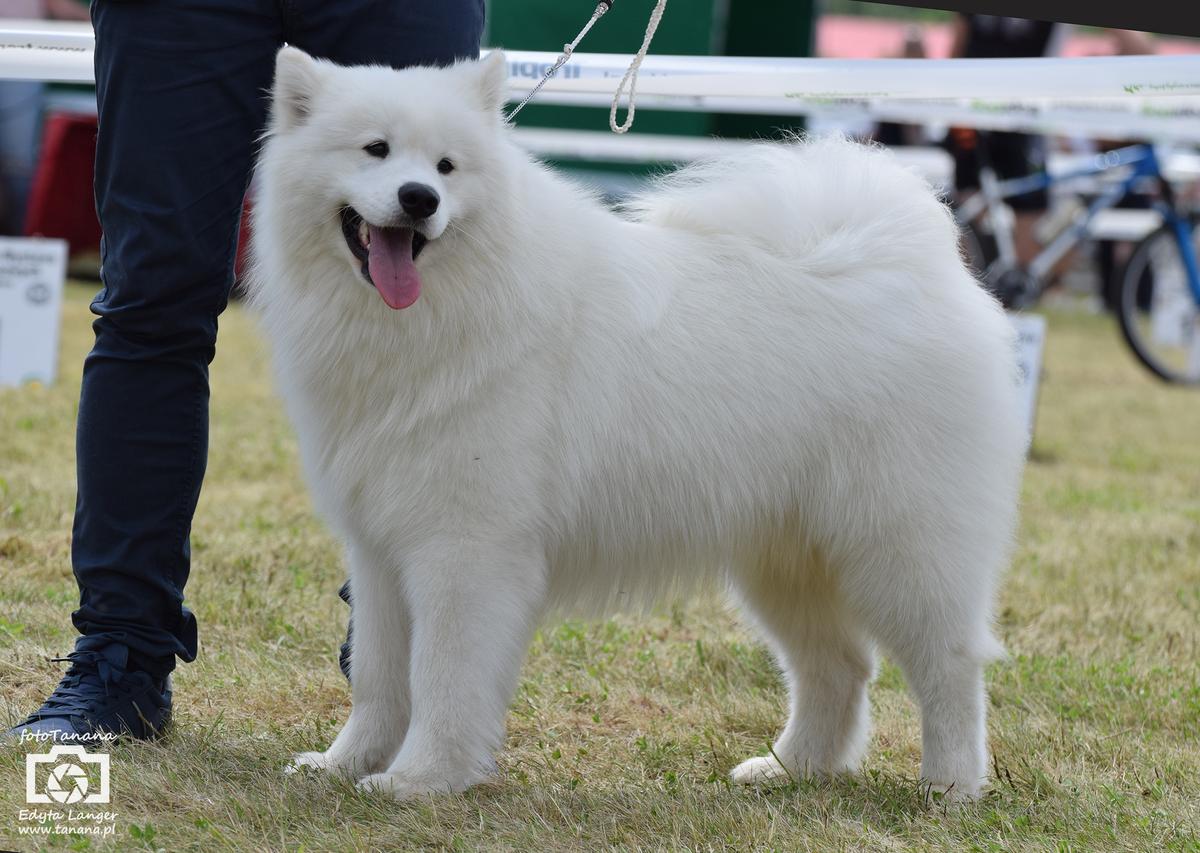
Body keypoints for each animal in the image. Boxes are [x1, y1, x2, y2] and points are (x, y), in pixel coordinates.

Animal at [250, 46, 1022, 806]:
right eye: (375, 149)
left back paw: (951, 786)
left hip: (902, 546)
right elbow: (378, 679)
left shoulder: (464, 551)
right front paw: (343, 765)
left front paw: (420, 779)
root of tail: (920, 265)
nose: (419, 199)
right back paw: (789, 768)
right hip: (785, 555)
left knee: (950, 664)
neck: (438, 317)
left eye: (445, 167)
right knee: (839, 665)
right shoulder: (381, 553)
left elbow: (442, 679)